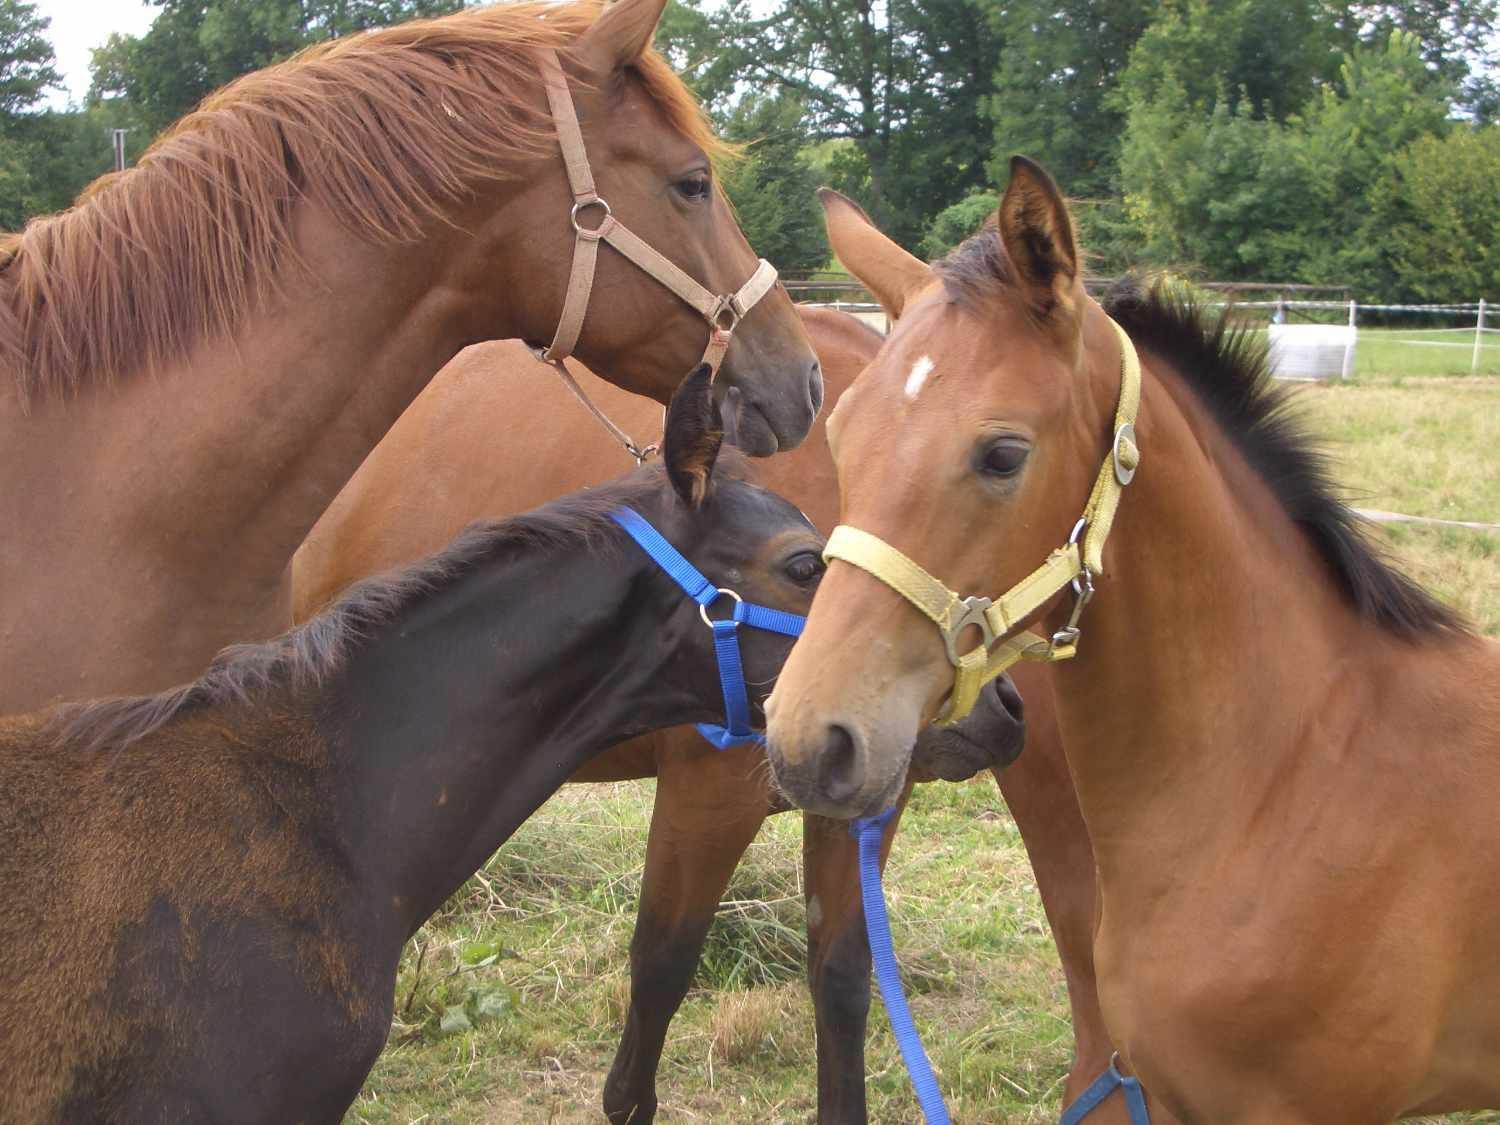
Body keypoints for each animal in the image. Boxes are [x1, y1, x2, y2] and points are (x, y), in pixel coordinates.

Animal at [293, 305, 1155, 1123]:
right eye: (806, 567)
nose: (1003, 711)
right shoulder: (710, 791)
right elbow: (661, 965)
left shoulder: (863, 797)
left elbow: (842, 975)